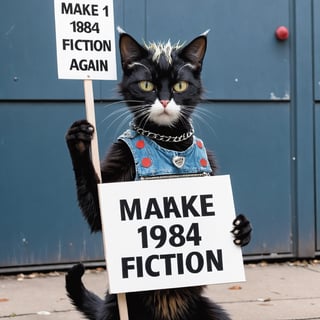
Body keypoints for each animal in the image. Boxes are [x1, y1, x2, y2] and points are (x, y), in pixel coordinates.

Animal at [65, 30, 252, 320]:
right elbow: (95, 210)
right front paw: (80, 140)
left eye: (180, 86)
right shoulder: (118, 161)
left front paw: (242, 228)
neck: (169, 142)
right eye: (146, 85)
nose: (164, 100)